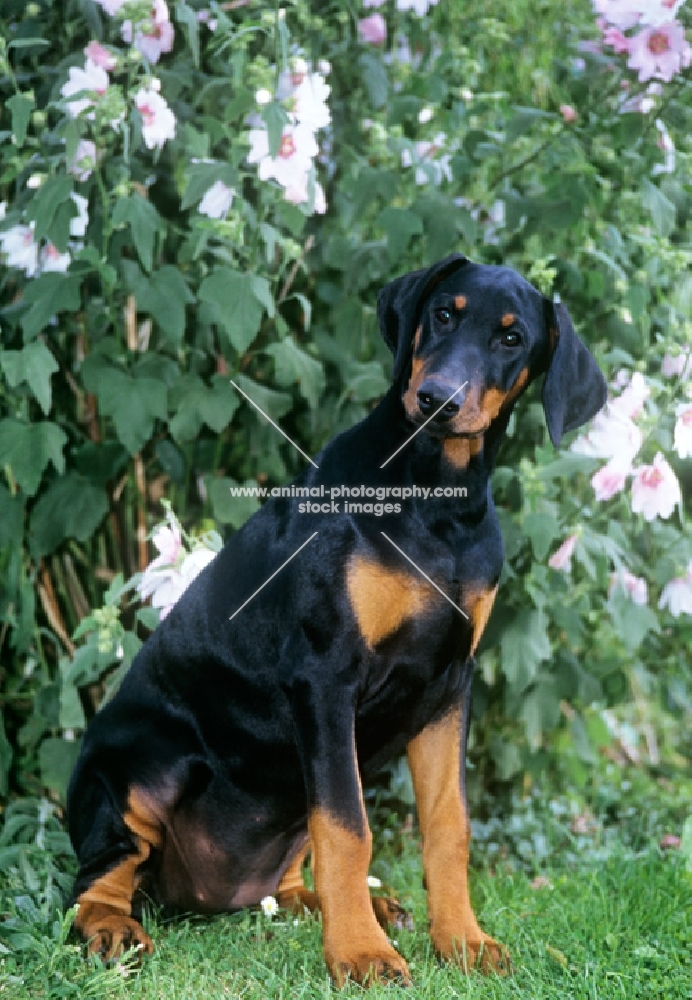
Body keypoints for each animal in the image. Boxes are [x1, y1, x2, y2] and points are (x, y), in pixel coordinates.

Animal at [66, 254, 604, 988]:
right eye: (443, 313)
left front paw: (461, 940)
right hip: (140, 768)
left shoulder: (449, 685)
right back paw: (113, 927)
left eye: (512, 337)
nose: (436, 399)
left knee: (287, 873)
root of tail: (206, 897)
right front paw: (360, 954)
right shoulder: (325, 674)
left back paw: (347, 905)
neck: (436, 498)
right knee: (97, 877)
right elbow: (350, 829)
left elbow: (449, 824)